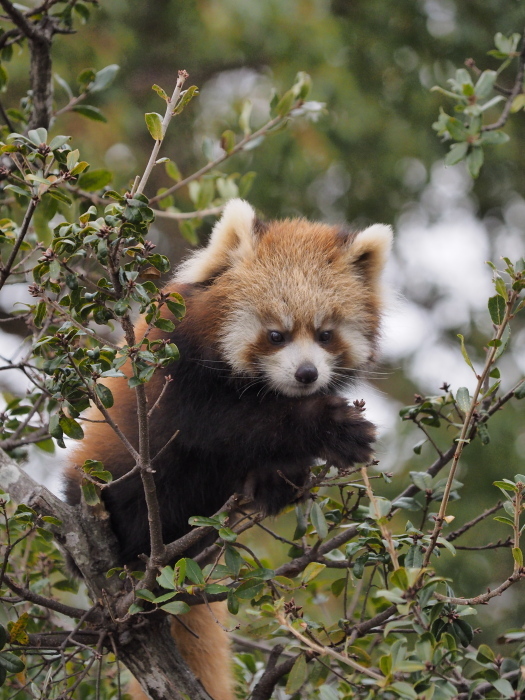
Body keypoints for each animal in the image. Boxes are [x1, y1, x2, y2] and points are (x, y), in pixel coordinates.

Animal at [62, 198, 388, 700]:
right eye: (276, 335)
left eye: (325, 334)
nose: (307, 374)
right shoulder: (173, 370)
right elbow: (222, 425)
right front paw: (327, 426)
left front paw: (283, 473)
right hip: (106, 478)